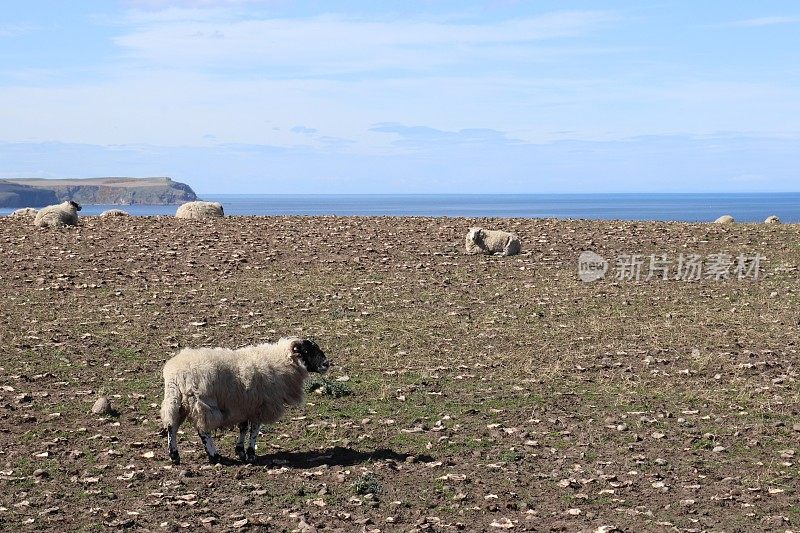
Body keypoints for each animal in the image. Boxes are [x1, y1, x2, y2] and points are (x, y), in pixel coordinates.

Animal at [161, 338, 330, 464]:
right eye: (306, 351)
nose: (326, 364)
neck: (280, 362)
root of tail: (174, 374)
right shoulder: (260, 406)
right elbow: (254, 430)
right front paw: (251, 454)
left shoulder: (244, 405)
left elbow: (243, 428)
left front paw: (240, 451)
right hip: (201, 403)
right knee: (203, 431)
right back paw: (214, 456)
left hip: (177, 401)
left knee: (172, 426)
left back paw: (174, 455)